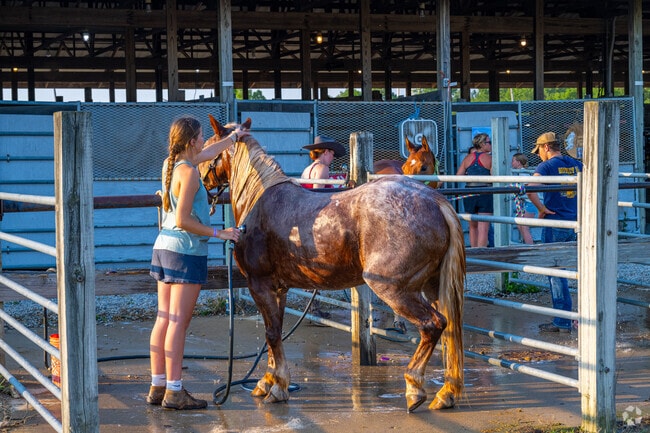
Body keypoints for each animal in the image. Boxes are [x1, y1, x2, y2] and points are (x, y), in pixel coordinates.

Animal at [199, 116, 465, 413]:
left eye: (208, 147)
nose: (203, 180)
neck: (259, 201)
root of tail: (435, 202)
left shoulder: (260, 285)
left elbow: (272, 333)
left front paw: (277, 388)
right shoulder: (279, 289)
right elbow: (274, 333)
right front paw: (269, 381)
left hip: (395, 290)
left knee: (433, 325)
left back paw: (414, 387)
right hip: (433, 286)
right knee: (450, 330)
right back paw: (446, 392)